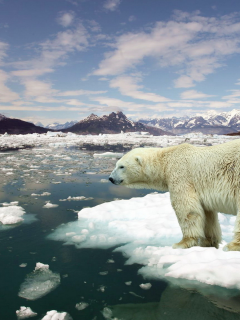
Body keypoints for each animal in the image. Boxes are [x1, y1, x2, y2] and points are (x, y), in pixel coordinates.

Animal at [109, 141, 240, 251]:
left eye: (121, 166)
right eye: (116, 165)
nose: (110, 178)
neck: (166, 162)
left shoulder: (181, 176)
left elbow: (187, 209)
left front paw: (182, 243)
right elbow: (207, 214)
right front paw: (208, 242)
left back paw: (232, 246)